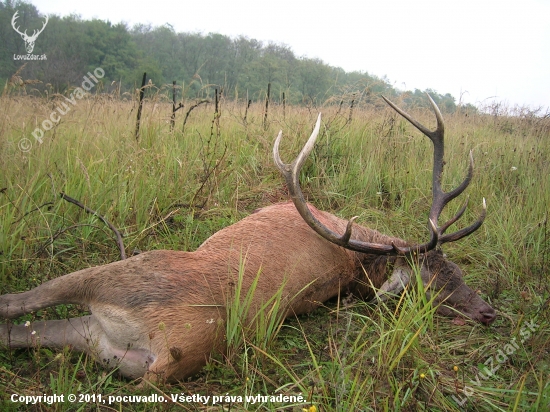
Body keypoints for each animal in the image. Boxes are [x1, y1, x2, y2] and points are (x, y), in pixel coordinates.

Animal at [0, 96, 498, 384]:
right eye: (438, 276)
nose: (489, 312)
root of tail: (166, 351)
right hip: (96, 330)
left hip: (119, 283)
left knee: (13, 307)